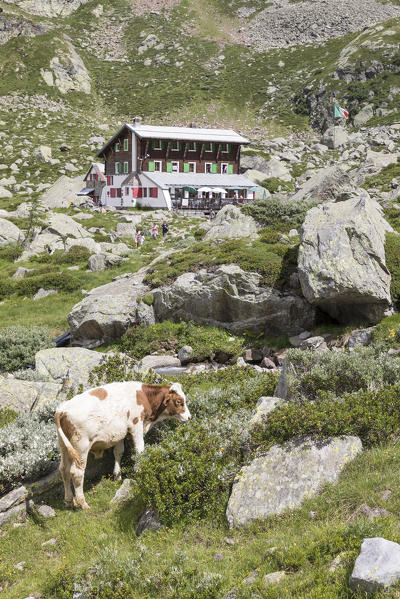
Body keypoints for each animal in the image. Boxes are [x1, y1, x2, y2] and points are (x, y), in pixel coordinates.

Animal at [54, 384, 191, 510]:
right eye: (179, 401)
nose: (189, 417)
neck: (143, 396)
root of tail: (62, 409)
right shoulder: (136, 426)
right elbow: (139, 450)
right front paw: (139, 472)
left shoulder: (120, 433)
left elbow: (118, 452)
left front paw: (118, 476)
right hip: (81, 446)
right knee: (76, 473)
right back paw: (83, 504)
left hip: (64, 446)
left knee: (64, 470)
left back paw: (69, 501)